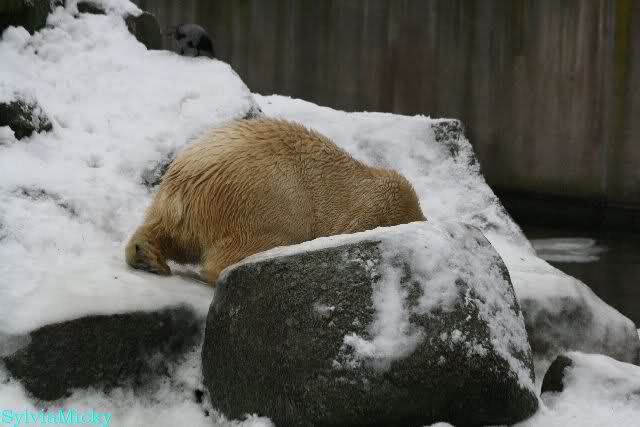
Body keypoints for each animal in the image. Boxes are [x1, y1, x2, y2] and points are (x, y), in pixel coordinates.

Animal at [126, 118, 426, 286]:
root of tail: (189, 177)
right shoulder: (372, 210)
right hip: (261, 198)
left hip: (175, 206)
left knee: (164, 231)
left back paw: (145, 255)